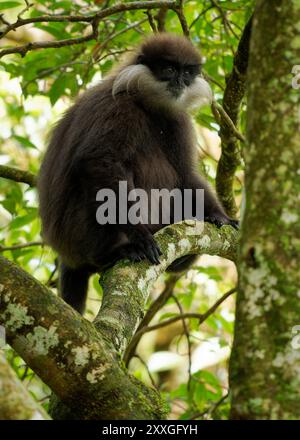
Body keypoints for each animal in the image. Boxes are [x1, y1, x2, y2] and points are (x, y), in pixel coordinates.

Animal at [38, 32, 239, 312]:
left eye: (187, 73)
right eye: (169, 69)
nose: (179, 82)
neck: (146, 104)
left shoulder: (177, 119)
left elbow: (186, 176)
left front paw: (219, 216)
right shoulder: (117, 107)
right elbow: (98, 162)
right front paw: (139, 237)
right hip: (79, 233)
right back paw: (115, 252)